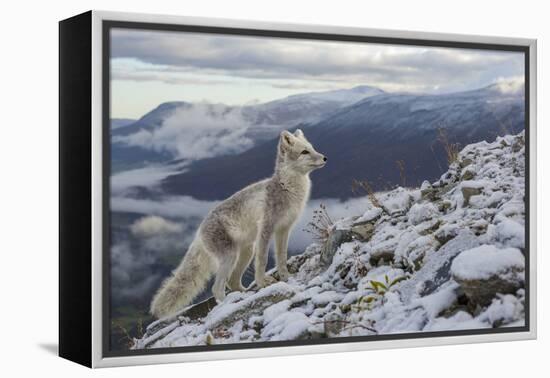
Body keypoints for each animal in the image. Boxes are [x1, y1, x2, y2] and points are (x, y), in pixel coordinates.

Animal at [150, 130, 328, 318]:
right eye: (304, 152)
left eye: (312, 148)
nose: (325, 158)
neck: (287, 188)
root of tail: (199, 232)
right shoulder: (266, 229)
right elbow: (263, 260)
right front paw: (262, 283)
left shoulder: (284, 230)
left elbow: (281, 257)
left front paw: (286, 277)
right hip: (231, 256)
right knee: (218, 288)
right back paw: (226, 306)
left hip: (246, 252)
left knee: (232, 282)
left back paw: (243, 295)